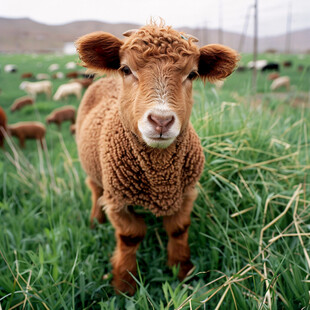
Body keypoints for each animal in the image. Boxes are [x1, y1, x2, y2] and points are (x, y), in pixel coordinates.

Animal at [74, 22, 237, 296]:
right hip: (94, 170)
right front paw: (124, 283)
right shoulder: (117, 200)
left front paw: (182, 270)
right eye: (126, 69)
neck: (160, 179)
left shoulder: (187, 192)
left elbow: (179, 229)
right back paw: (95, 221)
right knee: (95, 190)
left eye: (192, 74)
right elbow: (130, 236)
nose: (161, 120)